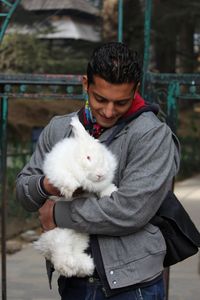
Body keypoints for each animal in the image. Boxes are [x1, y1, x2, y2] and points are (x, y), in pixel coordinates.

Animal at [33, 115, 118, 276]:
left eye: (103, 158)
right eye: (88, 157)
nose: (100, 174)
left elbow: (103, 187)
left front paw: (111, 191)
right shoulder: (57, 169)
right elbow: (65, 178)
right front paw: (71, 189)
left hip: (80, 238)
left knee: (74, 255)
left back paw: (87, 266)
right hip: (60, 238)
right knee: (61, 260)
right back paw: (75, 266)